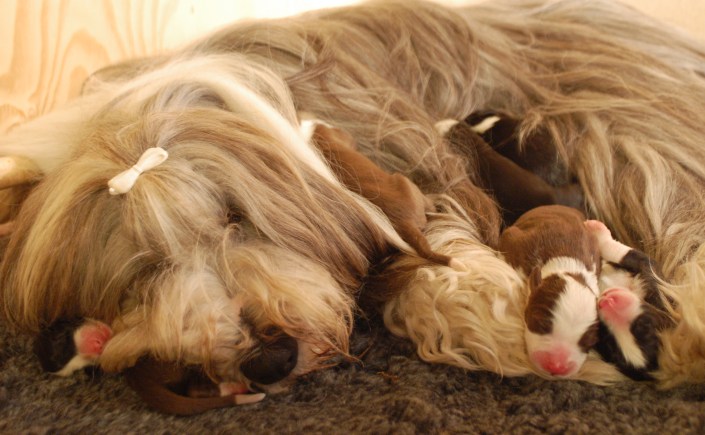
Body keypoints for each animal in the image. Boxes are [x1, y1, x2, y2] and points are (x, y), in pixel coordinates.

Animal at [2, 0, 705, 392]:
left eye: (236, 217)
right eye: (143, 272)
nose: (266, 355)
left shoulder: (406, 157)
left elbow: (443, 259)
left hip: (638, 137)